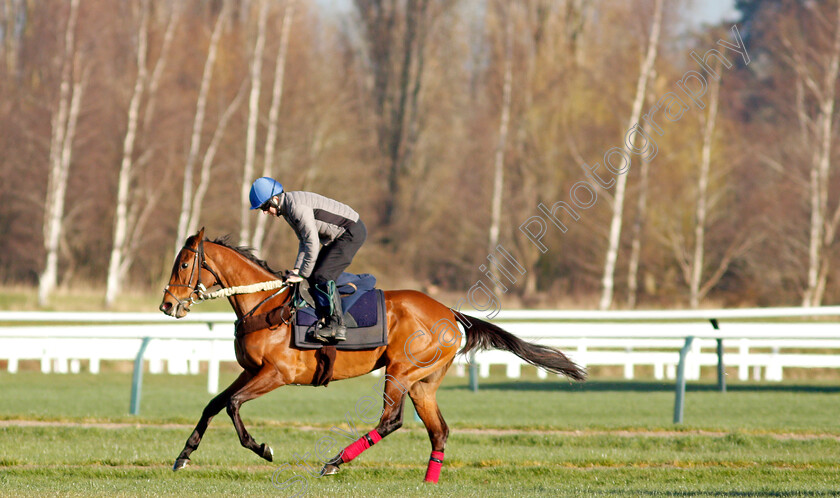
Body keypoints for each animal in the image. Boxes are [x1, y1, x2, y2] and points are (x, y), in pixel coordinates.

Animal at [161, 229, 588, 482]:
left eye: (183, 263)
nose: (167, 305)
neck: (264, 305)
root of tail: (450, 313)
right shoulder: (250, 370)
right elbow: (213, 404)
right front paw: (183, 455)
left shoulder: (277, 374)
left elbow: (233, 405)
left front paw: (263, 448)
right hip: (423, 383)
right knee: (439, 430)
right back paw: (428, 481)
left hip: (399, 372)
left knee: (391, 421)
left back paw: (335, 461)